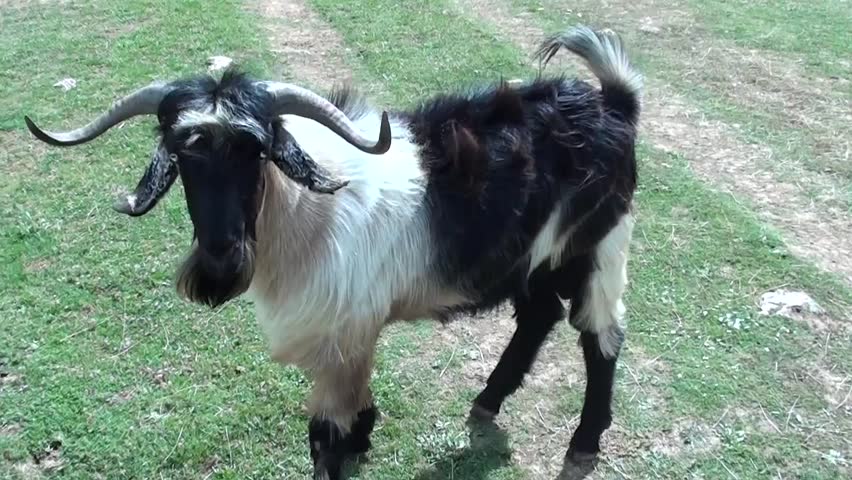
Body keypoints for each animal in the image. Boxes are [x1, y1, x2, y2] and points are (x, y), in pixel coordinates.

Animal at [25, 25, 642, 479]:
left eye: (257, 152)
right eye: (182, 157)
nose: (221, 260)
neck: (308, 215)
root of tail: (615, 102)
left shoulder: (341, 337)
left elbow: (325, 437)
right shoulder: (348, 342)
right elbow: (354, 416)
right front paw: (367, 435)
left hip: (601, 246)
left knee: (601, 336)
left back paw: (583, 445)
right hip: (538, 258)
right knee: (539, 316)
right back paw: (488, 399)